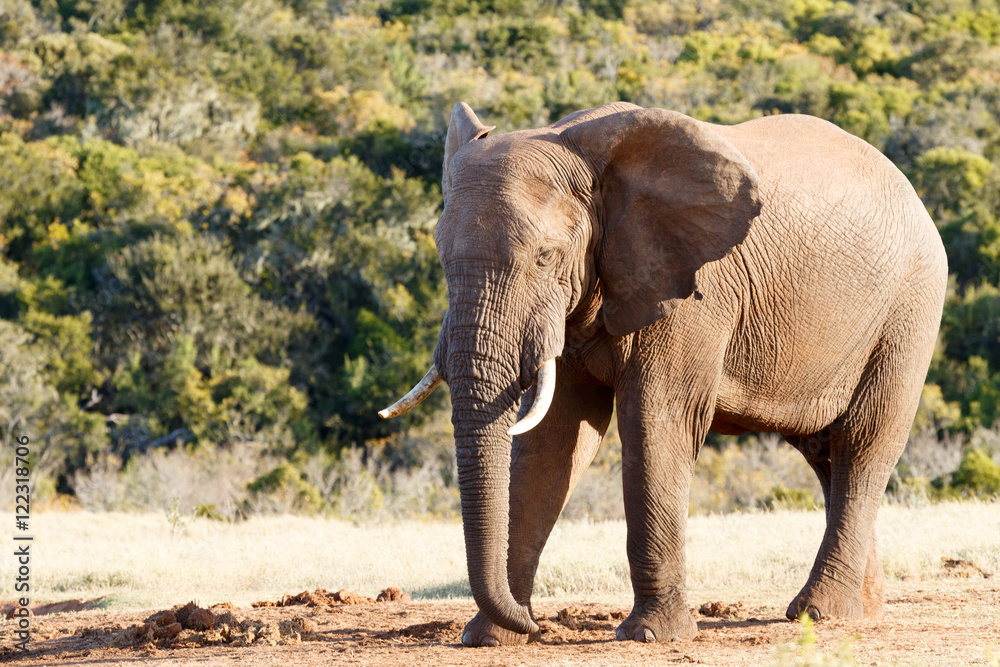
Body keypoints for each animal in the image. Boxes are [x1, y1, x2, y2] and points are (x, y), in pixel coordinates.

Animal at [376, 102, 944, 644]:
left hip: (909, 310)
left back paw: (818, 613)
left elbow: (656, 423)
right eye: (440, 257)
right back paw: (859, 610)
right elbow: (551, 442)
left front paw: (650, 634)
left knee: (863, 444)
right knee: (824, 452)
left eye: (545, 257)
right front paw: (491, 637)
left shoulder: (691, 290)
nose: (538, 627)